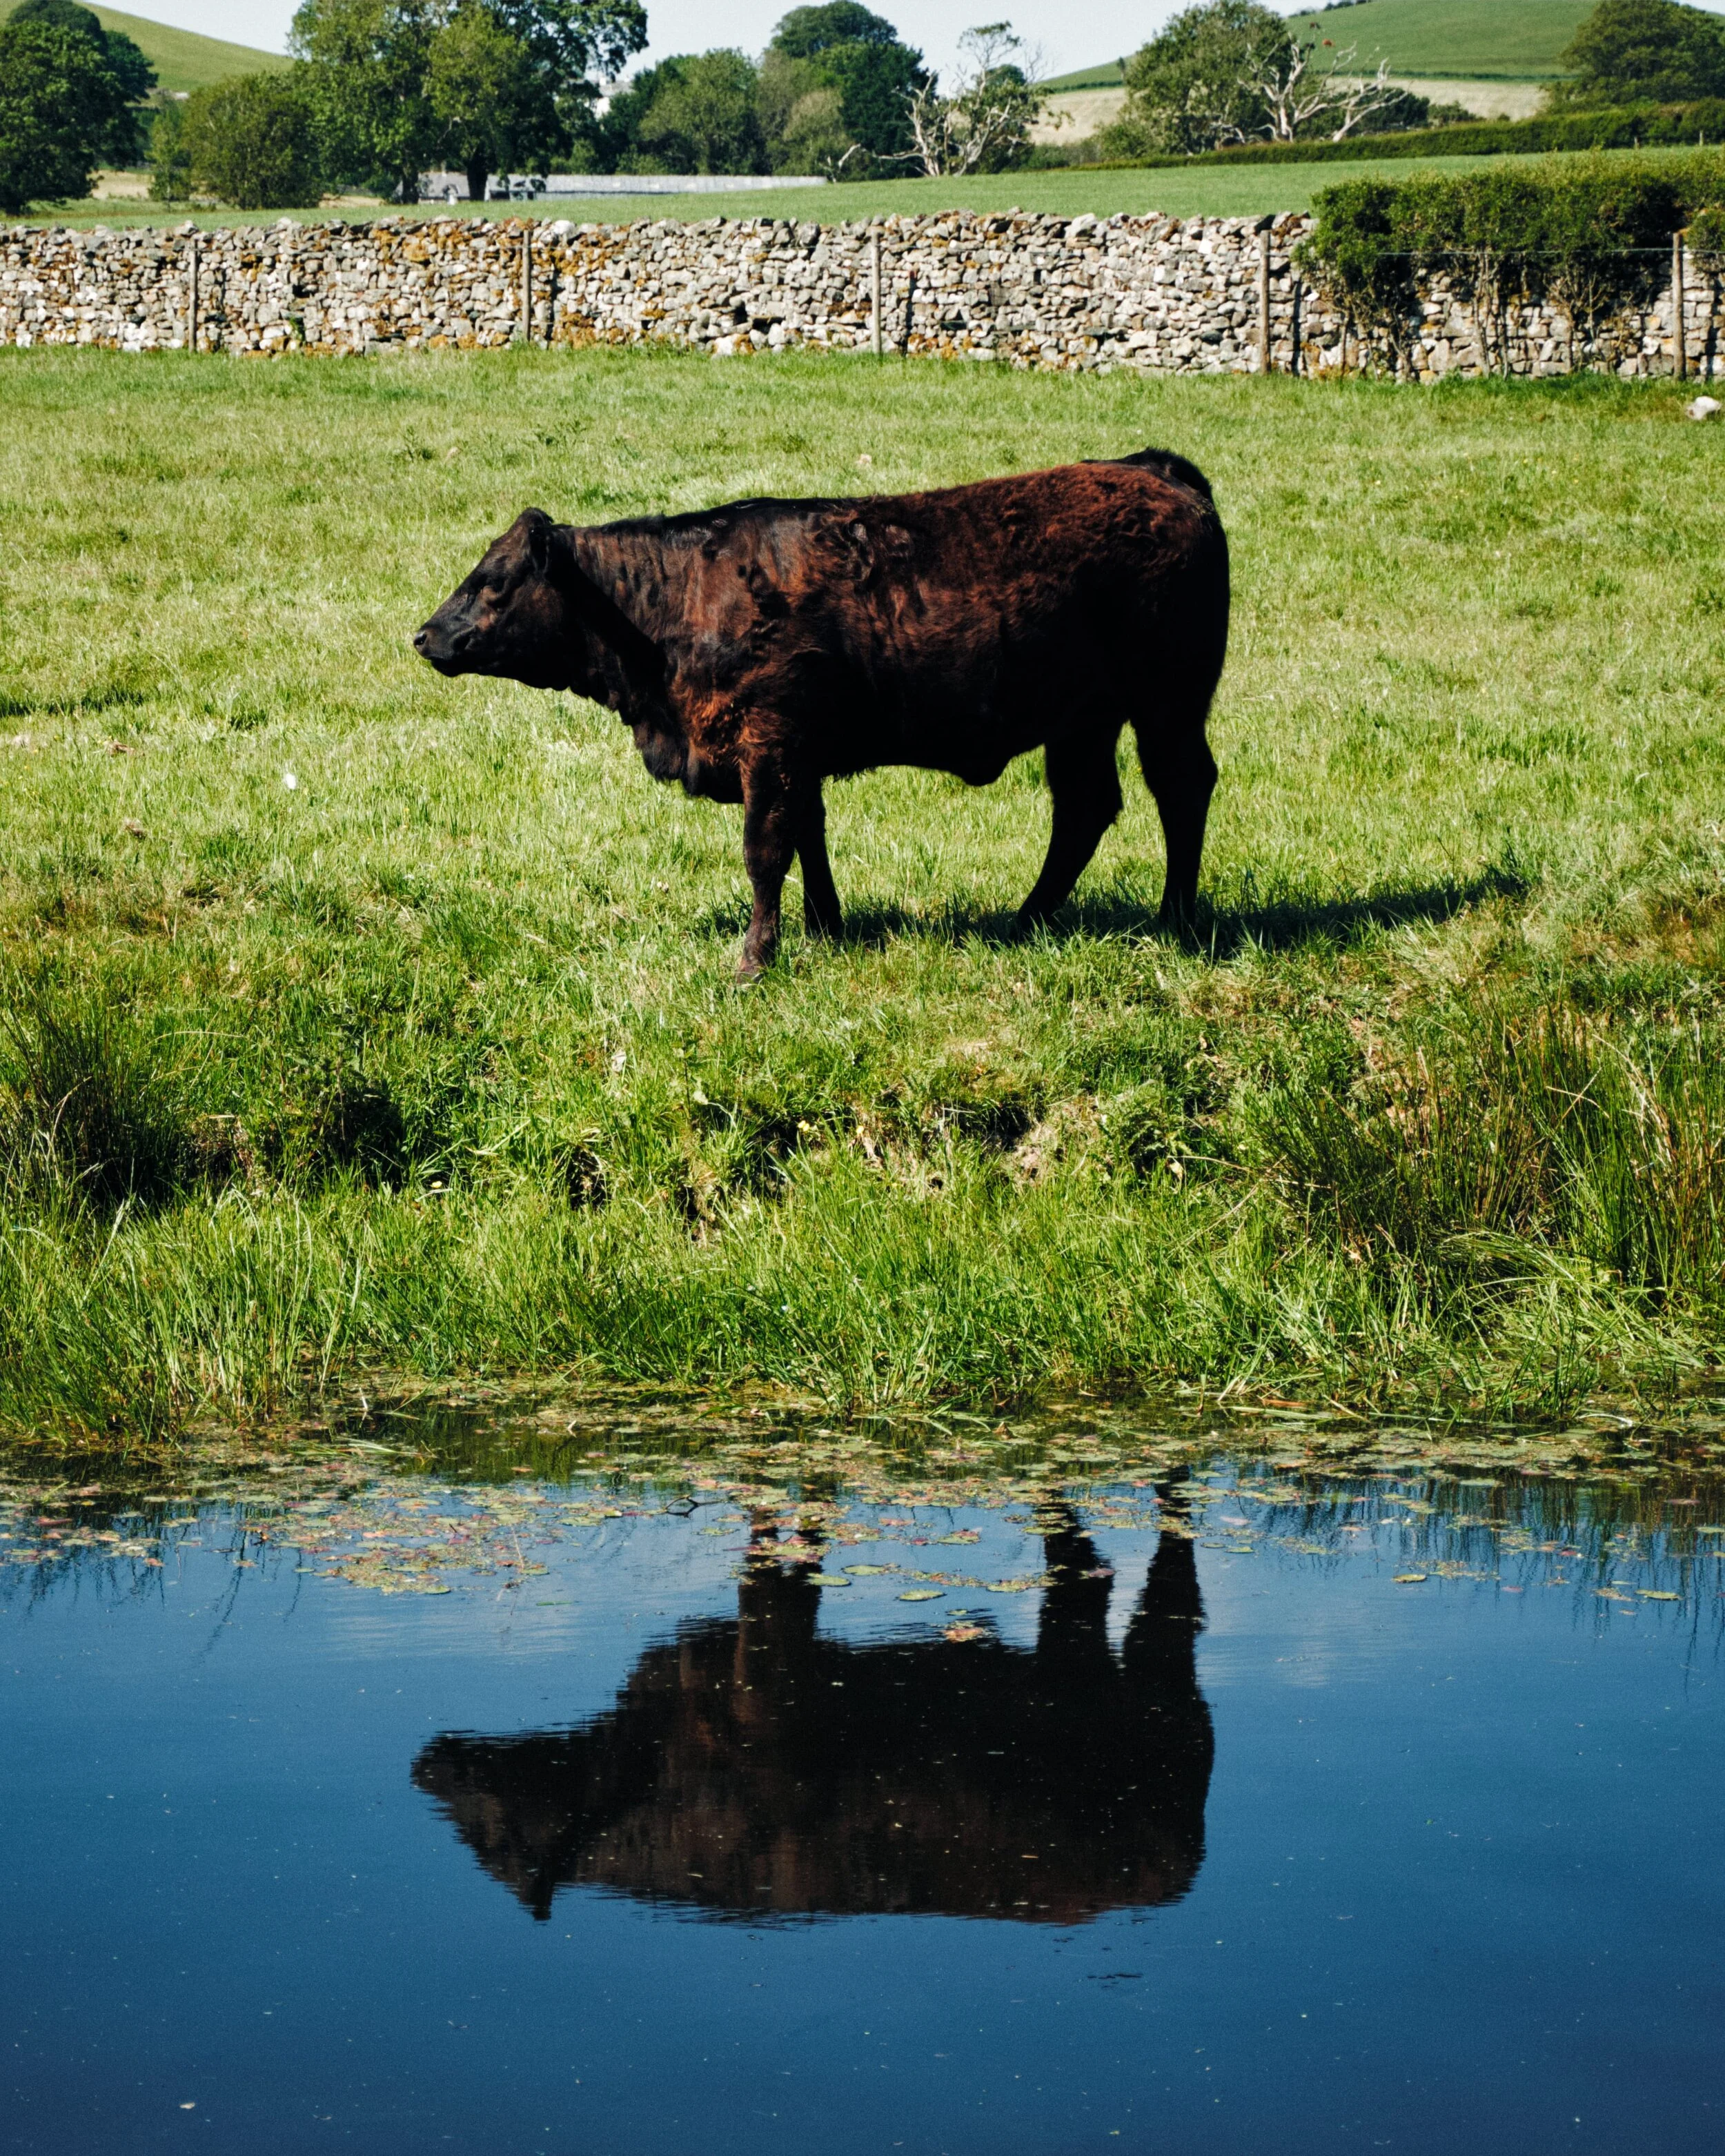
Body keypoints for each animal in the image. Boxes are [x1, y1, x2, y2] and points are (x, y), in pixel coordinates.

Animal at [414, 449, 1230, 980]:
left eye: (493, 581)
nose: (424, 636)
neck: (673, 599)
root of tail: (1154, 472)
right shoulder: (792, 758)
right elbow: (810, 838)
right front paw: (827, 928)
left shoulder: (769, 746)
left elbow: (765, 850)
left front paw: (754, 958)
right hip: (1083, 723)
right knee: (1085, 810)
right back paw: (1025, 920)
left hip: (1167, 707)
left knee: (1180, 791)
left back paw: (1175, 922)